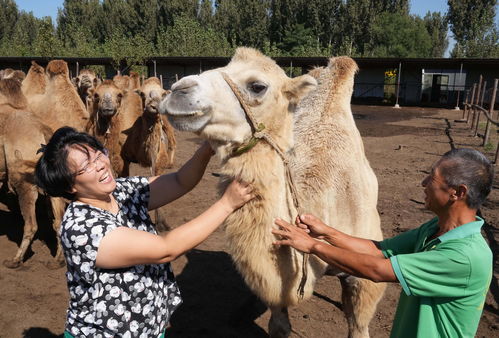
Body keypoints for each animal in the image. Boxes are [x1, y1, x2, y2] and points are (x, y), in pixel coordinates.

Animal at [0, 77, 66, 270]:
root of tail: (42, 130)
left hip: (23, 180)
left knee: (31, 224)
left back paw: (15, 261)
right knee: (58, 221)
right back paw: (57, 261)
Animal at [160, 48, 386, 338]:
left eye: (257, 86)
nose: (177, 90)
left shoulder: (366, 276)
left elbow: (359, 324)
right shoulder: (277, 290)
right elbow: (278, 322)